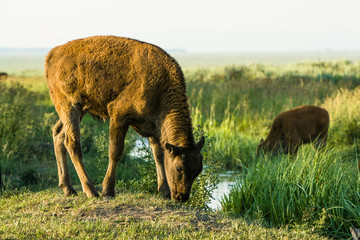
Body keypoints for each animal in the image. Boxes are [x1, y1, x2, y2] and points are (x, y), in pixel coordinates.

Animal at [45, 35, 204, 202]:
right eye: (179, 168)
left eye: (198, 170)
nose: (182, 197)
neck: (161, 88)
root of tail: (53, 54)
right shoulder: (119, 116)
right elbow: (116, 152)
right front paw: (107, 190)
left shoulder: (153, 128)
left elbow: (158, 155)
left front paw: (164, 191)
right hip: (70, 105)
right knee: (72, 143)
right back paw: (90, 191)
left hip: (80, 109)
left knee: (58, 134)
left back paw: (68, 188)